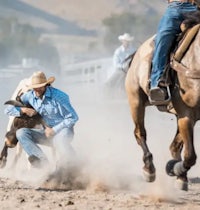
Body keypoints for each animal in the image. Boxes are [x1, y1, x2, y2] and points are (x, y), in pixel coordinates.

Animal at [126, 11, 200, 192]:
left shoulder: (187, 116)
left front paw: (177, 171)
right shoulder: (186, 113)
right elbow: (190, 156)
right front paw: (173, 168)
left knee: (174, 146)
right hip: (135, 101)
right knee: (140, 133)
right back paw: (149, 169)